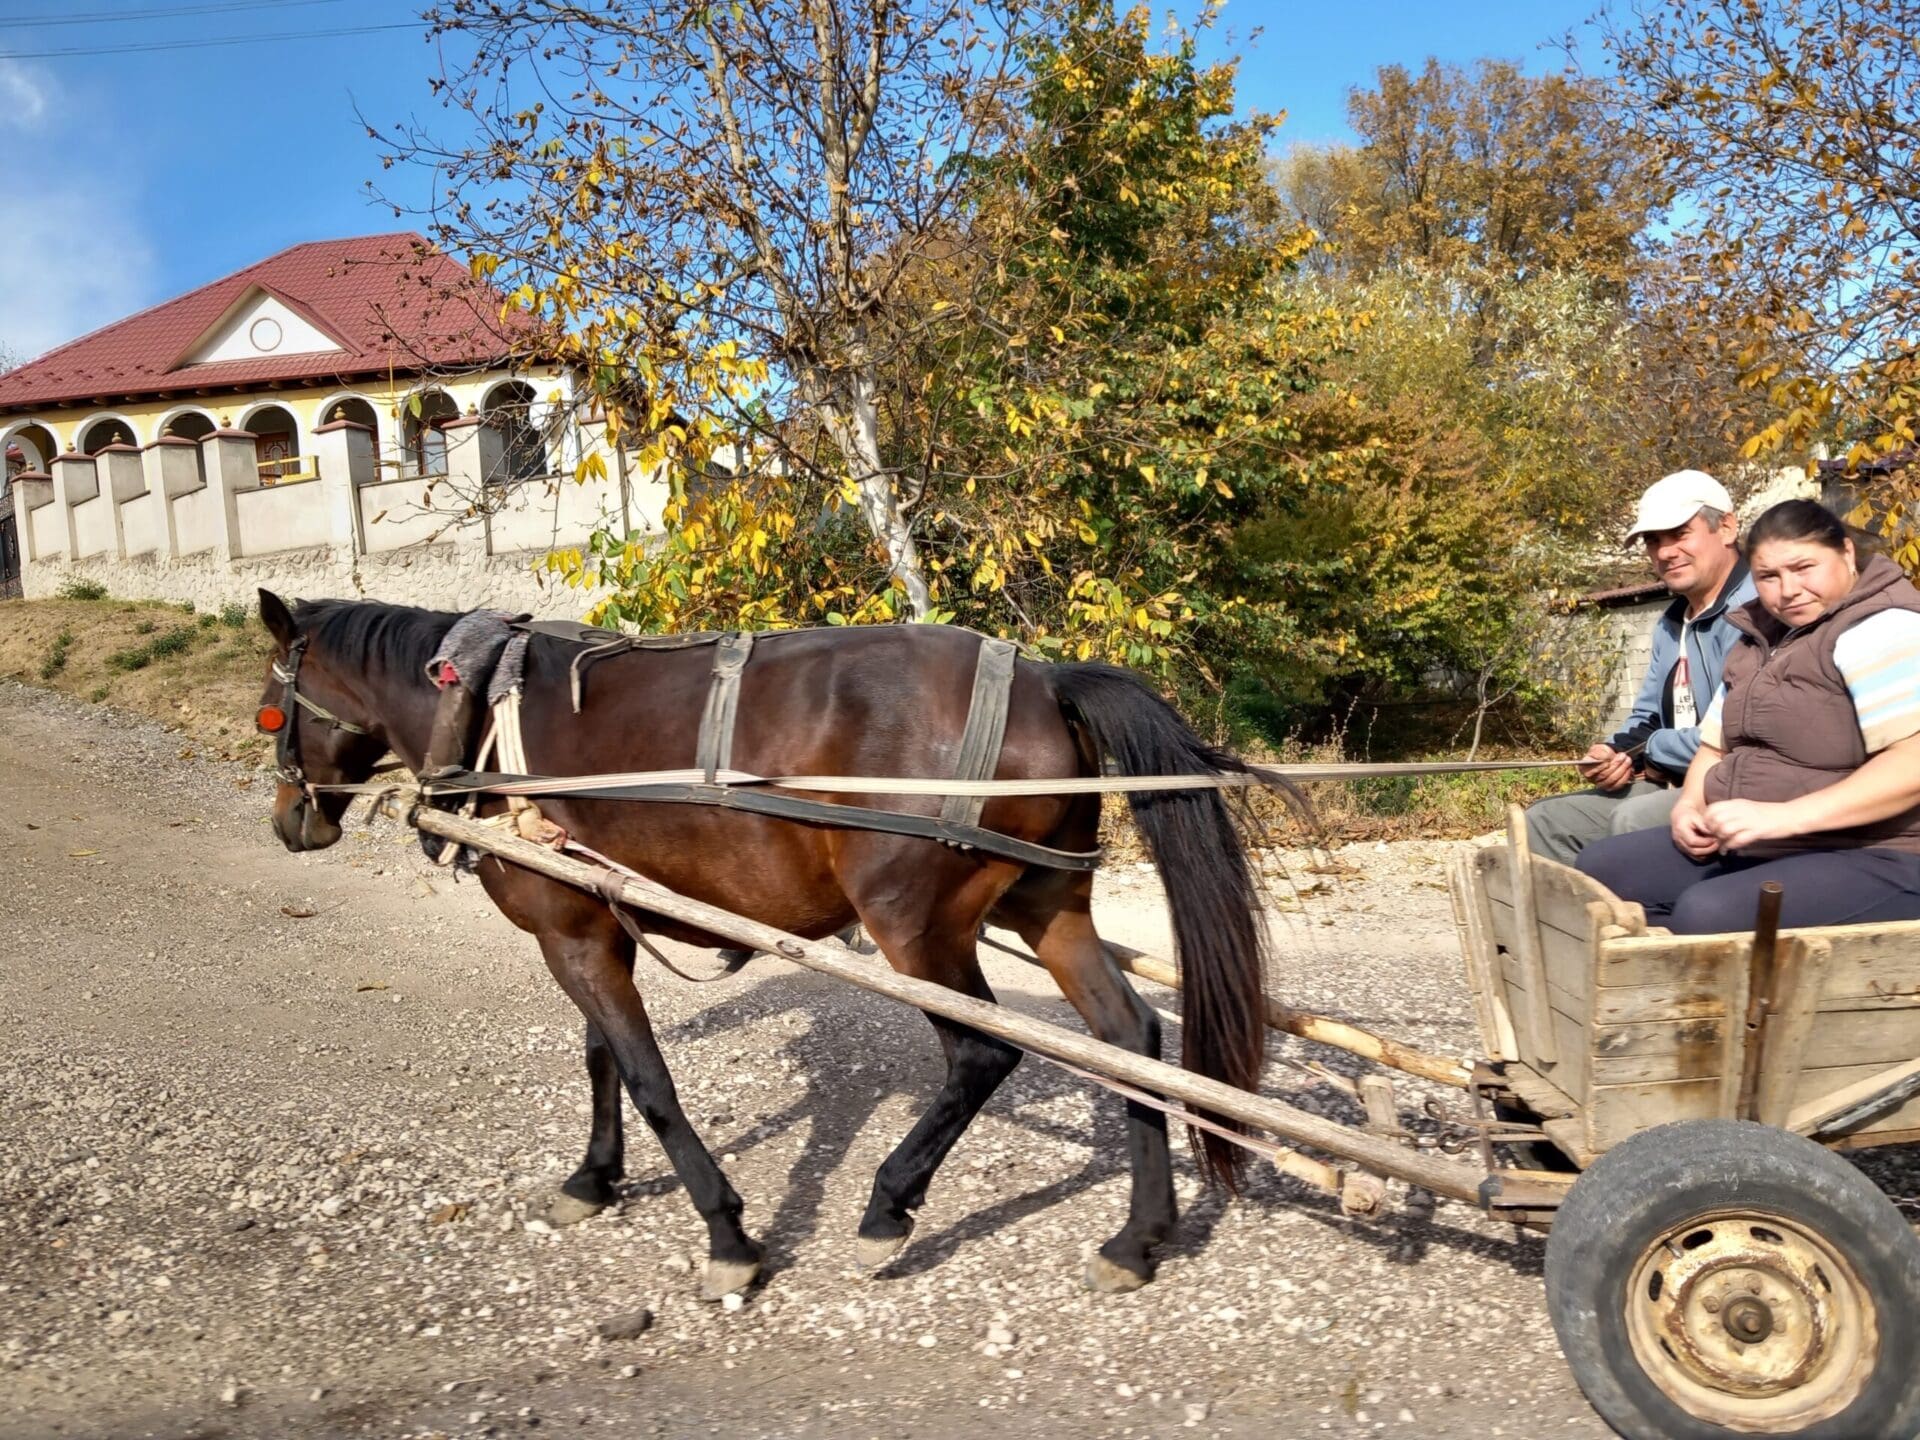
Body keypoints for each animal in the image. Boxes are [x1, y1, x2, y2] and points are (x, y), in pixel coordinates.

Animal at [254, 589, 1275, 1299]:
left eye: (272, 709)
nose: (289, 822)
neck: (479, 708)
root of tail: (1045, 679)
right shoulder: (591, 922)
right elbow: (602, 1059)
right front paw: (593, 1178)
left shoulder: (571, 935)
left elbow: (651, 1082)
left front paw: (729, 1238)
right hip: (1046, 903)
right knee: (1132, 1041)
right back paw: (1137, 1238)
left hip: (916, 926)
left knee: (982, 1053)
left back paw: (888, 1205)